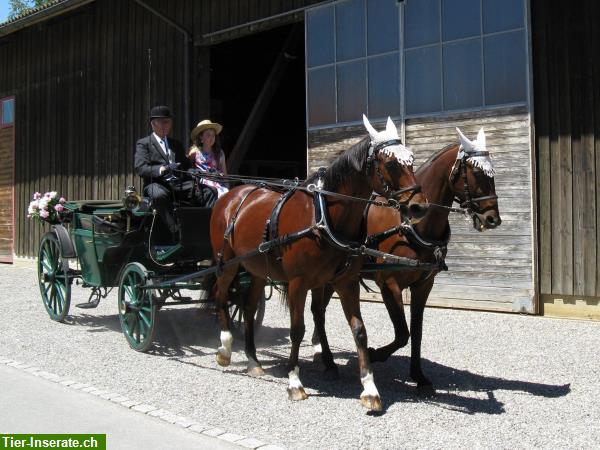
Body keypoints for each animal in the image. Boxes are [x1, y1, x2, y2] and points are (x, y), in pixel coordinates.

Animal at [210, 116, 426, 412]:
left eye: (412, 159)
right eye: (390, 163)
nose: (419, 207)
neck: (323, 215)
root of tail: (232, 195)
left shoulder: (346, 282)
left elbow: (359, 331)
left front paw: (369, 388)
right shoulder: (298, 283)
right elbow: (297, 330)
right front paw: (294, 382)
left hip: (257, 270)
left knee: (249, 307)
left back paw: (253, 360)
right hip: (228, 263)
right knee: (220, 297)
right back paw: (225, 348)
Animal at [310, 125, 502, 390]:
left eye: (491, 172)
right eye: (476, 171)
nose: (493, 219)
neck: (410, 225)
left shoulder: (424, 285)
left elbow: (417, 332)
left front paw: (419, 376)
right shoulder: (390, 284)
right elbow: (402, 333)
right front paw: (375, 354)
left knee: (319, 310)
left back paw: (319, 349)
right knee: (317, 311)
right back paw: (328, 361)